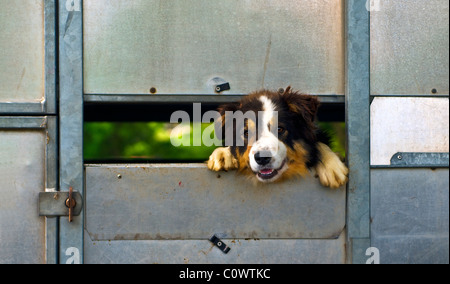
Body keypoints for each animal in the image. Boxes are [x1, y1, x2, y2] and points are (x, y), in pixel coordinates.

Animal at [207, 87, 348, 189]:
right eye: (246, 133)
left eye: (280, 129)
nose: (262, 158)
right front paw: (224, 153)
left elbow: (318, 144)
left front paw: (331, 165)